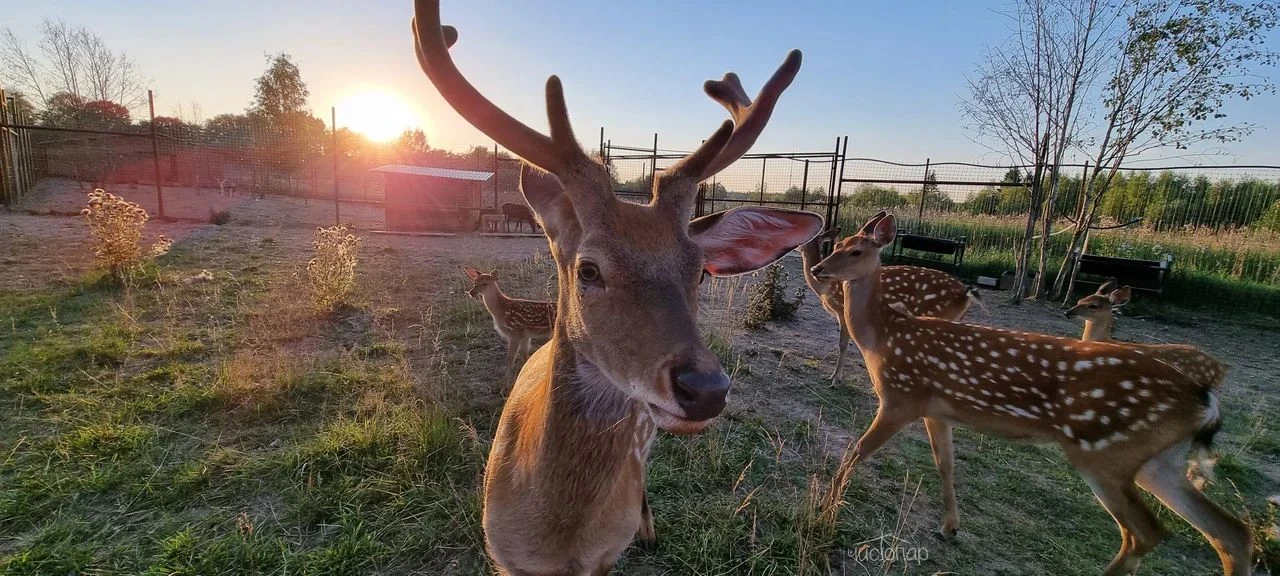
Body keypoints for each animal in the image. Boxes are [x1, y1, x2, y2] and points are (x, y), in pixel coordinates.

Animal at [407, 2, 819, 573]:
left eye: (699, 270)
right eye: (588, 269)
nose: (706, 389)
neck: (557, 542)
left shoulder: (604, 556)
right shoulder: (502, 554)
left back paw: (648, 528)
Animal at [793, 227, 972, 384]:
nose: (815, 269)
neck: (826, 289)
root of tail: (965, 294)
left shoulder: (842, 310)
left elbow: (842, 344)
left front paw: (835, 378)